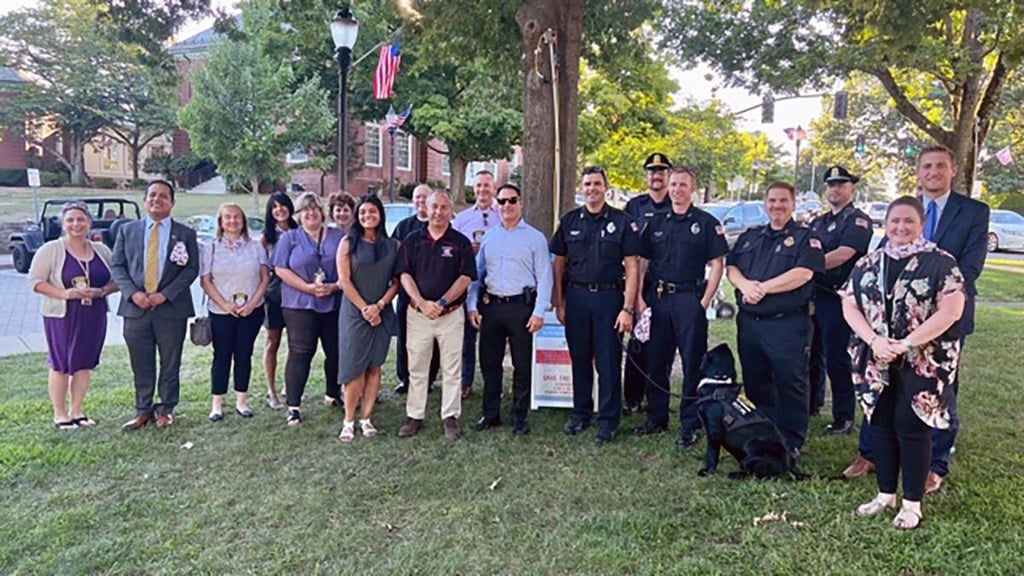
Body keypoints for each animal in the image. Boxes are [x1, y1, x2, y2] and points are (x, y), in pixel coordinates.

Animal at [695, 343, 795, 479]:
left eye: (708, 353)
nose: (724, 344)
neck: (719, 381)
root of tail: (788, 470)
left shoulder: (714, 432)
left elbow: (711, 453)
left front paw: (707, 471)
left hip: (752, 444)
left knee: (755, 474)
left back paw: (737, 474)